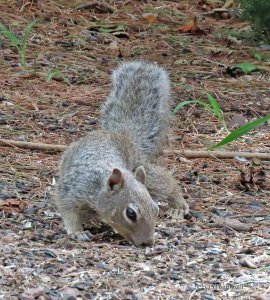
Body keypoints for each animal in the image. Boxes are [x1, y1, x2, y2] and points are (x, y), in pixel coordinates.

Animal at [55, 60, 190, 246]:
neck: (99, 184)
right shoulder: (71, 189)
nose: (148, 242)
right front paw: (77, 231)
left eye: (155, 209)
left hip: (142, 166)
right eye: (130, 214)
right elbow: (68, 210)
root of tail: (118, 135)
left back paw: (178, 206)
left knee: (166, 181)